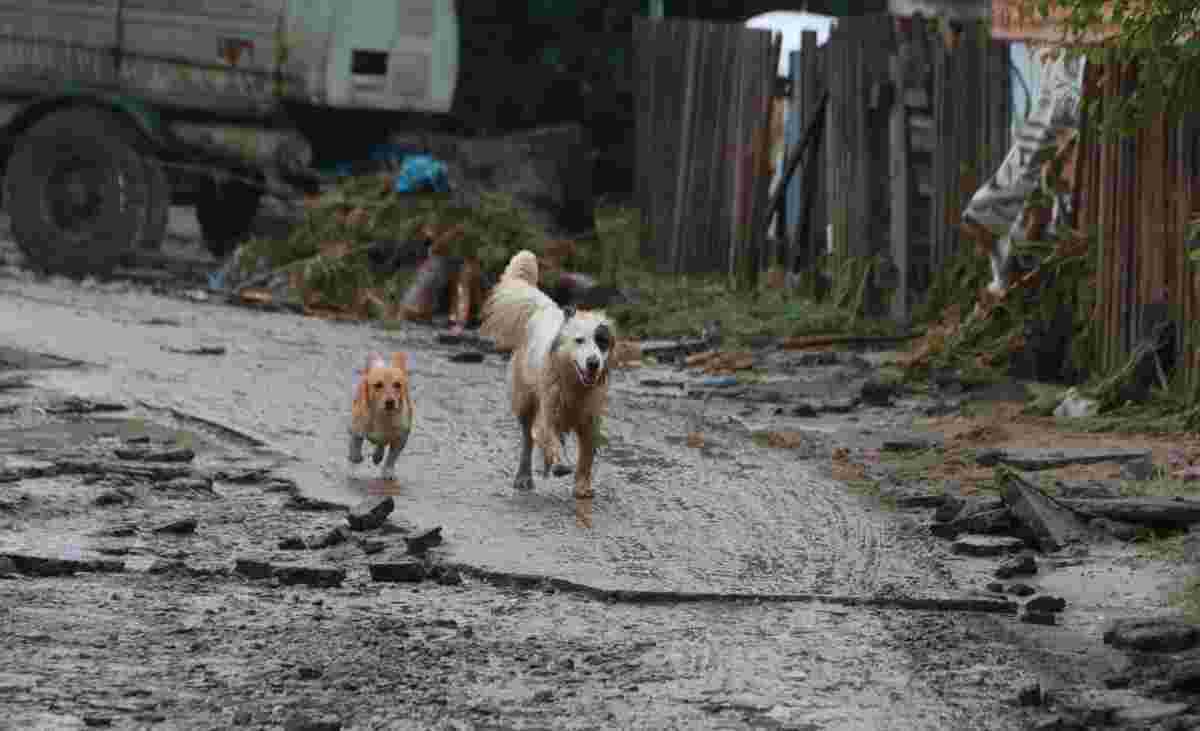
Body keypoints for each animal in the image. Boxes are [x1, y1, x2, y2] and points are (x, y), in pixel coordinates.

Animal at [481, 250, 614, 499]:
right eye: (579, 341)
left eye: (602, 342)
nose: (593, 363)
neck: (574, 384)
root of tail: (545, 308)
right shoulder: (549, 408)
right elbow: (547, 434)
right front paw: (560, 462)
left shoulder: (591, 419)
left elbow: (586, 455)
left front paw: (582, 485)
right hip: (524, 401)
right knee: (528, 439)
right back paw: (525, 476)